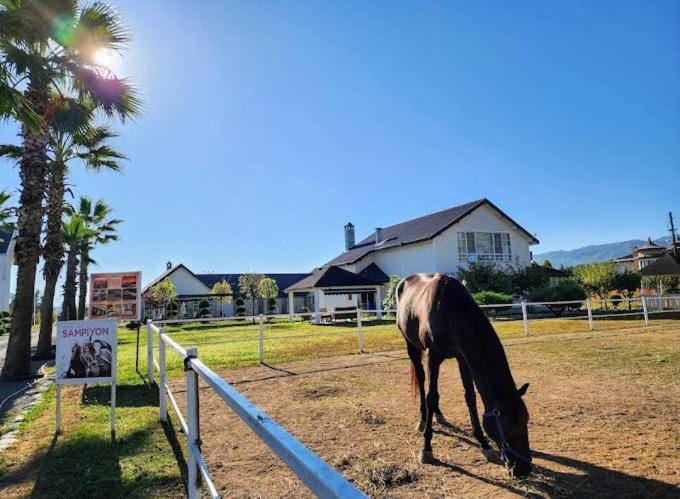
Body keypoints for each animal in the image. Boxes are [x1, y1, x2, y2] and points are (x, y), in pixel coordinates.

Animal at [396, 273, 532, 478]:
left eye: (526, 421)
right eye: (509, 426)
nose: (524, 469)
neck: (450, 309)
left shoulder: (463, 358)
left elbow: (470, 397)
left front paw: (484, 444)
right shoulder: (432, 356)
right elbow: (431, 396)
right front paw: (426, 448)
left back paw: (438, 415)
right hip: (412, 346)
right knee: (421, 380)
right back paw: (422, 419)